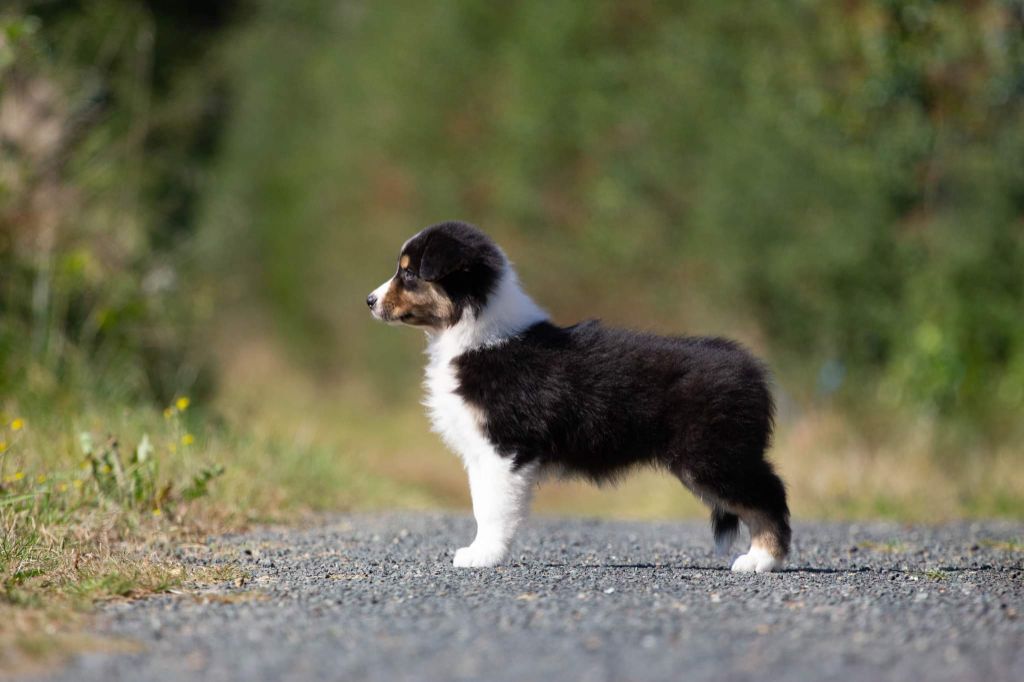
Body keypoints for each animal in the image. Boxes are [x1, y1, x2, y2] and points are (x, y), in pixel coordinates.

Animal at [367, 221, 790, 572]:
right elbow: (480, 502)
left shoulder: (504, 447)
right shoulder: (480, 451)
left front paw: (482, 556)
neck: (473, 331)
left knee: (769, 494)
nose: (369, 300)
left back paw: (762, 559)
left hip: (712, 455)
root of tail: (750, 367)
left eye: (408, 272)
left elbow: (493, 509)